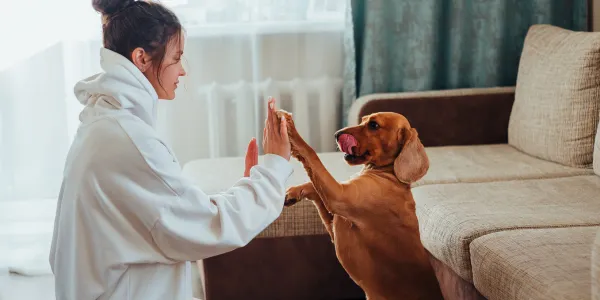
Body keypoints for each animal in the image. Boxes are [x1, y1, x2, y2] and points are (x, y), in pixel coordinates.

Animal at [278, 110, 442, 300]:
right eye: (363, 120)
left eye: (373, 125)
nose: (336, 134)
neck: (389, 174)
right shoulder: (335, 222)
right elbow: (313, 185)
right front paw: (293, 193)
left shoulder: (338, 196)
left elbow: (311, 154)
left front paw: (290, 129)